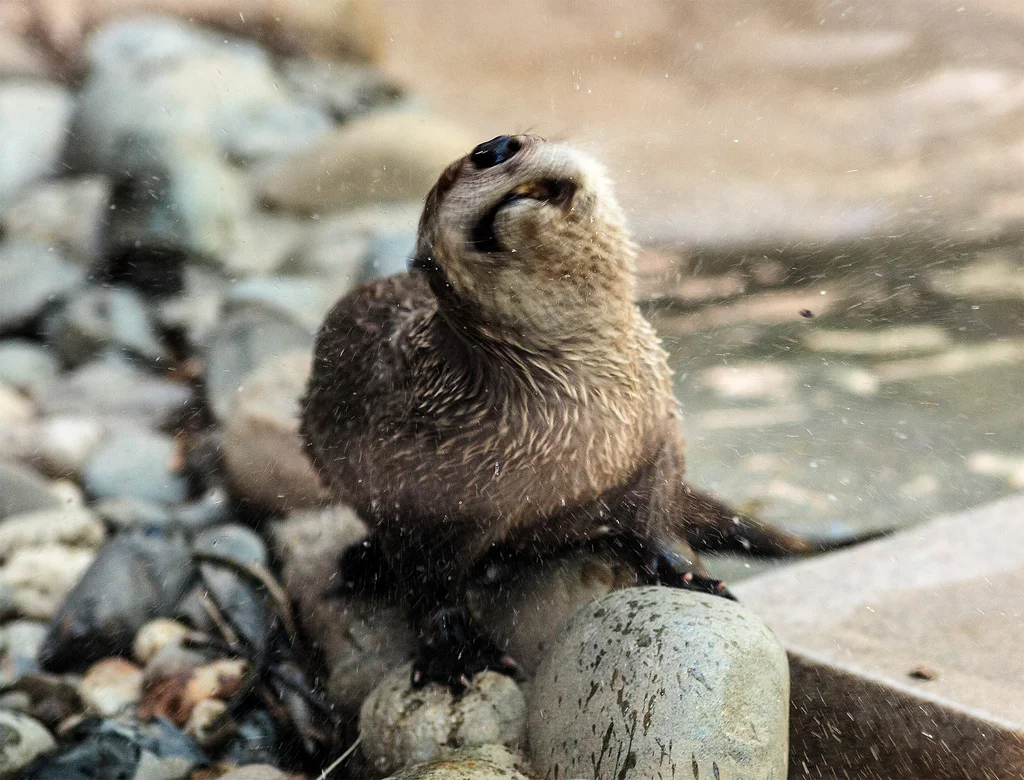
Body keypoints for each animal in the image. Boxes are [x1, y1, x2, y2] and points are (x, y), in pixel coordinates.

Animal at [301, 135, 820, 688]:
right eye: (447, 179)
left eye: (519, 140)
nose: (492, 147)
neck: (584, 413)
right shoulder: (419, 487)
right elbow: (428, 579)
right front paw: (458, 653)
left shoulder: (657, 434)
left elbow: (659, 516)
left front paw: (689, 575)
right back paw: (362, 564)